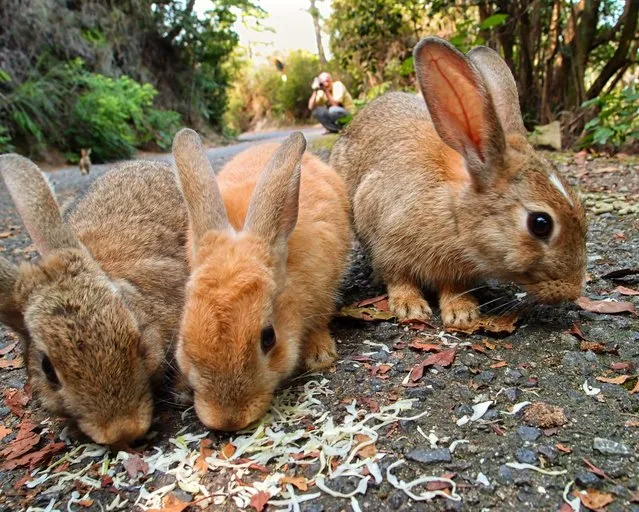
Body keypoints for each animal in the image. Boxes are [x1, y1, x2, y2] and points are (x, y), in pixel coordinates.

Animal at [332, 38, 588, 330]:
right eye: (540, 224)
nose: (572, 290)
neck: (455, 213)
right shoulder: (384, 238)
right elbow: (399, 277)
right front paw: (410, 306)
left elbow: (452, 287)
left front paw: (462, 311)